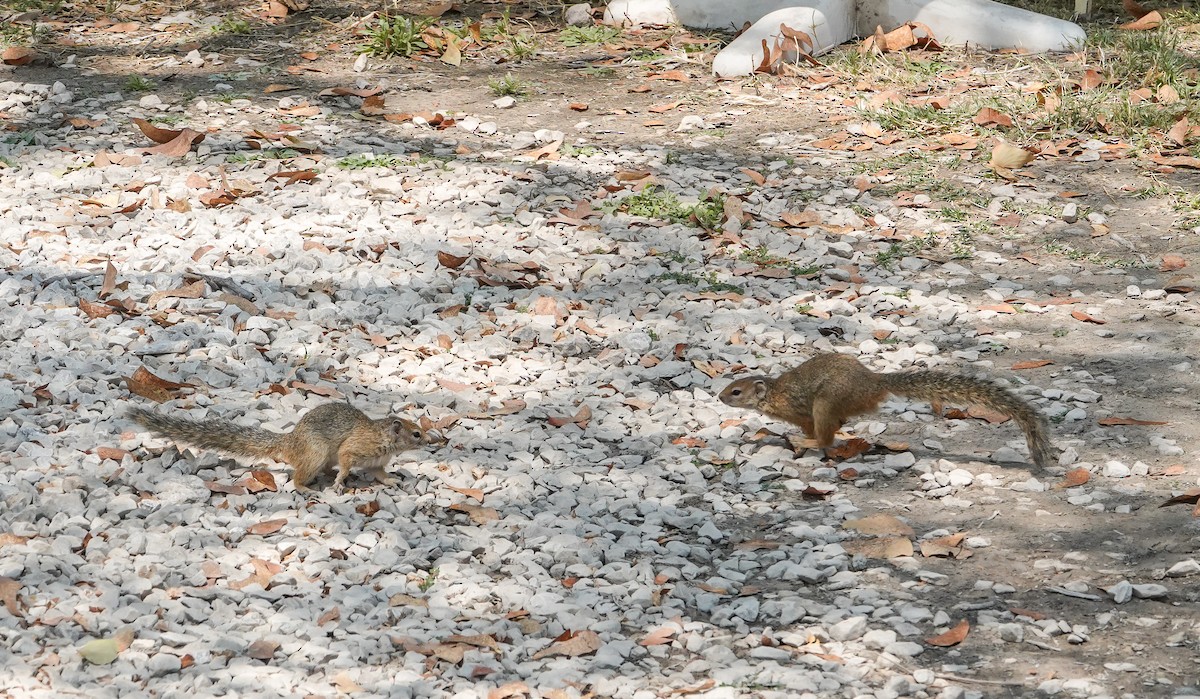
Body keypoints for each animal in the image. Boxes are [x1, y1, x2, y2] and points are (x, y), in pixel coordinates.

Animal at [127, 402, 436, 494]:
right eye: (416, 434)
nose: (433, 441)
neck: (386, 441)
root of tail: (289, 442)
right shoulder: (356, 448)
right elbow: (346, 459)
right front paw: (340, 482)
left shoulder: (377, 464)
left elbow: (382, 475)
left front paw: (393, 481)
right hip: (315, 454)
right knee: (298, 476)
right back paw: (306, 488)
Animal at [718, 353, 1055, 470]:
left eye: (736, 392)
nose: (720, 396)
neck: (774, 393)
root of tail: (874, 382)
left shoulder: (800, 411)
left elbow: (810, 429)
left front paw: (800, 443)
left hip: (825, 403)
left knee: (828, 435)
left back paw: (810, 442)